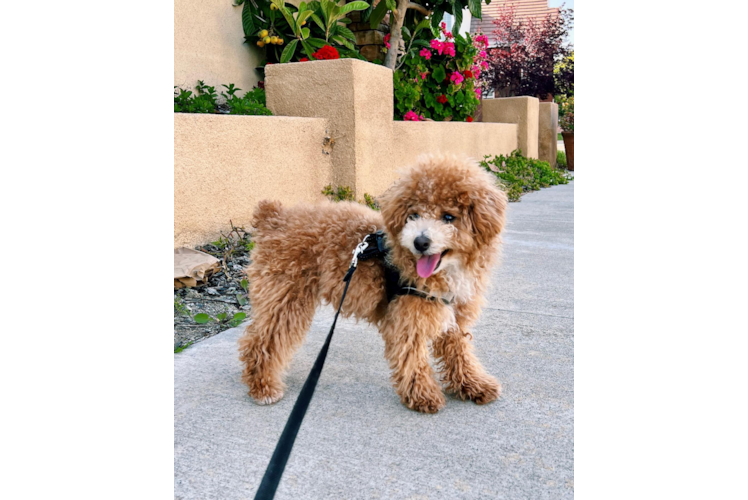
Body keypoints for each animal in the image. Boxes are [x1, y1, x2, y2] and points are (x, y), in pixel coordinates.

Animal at [240, 154, 508, 412]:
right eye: (413, 215)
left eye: (449, 217)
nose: (420, 242)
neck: (447, 270)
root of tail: (274, 218)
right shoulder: (408, 319)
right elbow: (412, 357)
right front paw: (422, 395)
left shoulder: (454, 316)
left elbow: (459, 352)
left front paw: (473, 384)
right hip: (284, 294)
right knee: (263, 340)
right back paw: (263, 386)